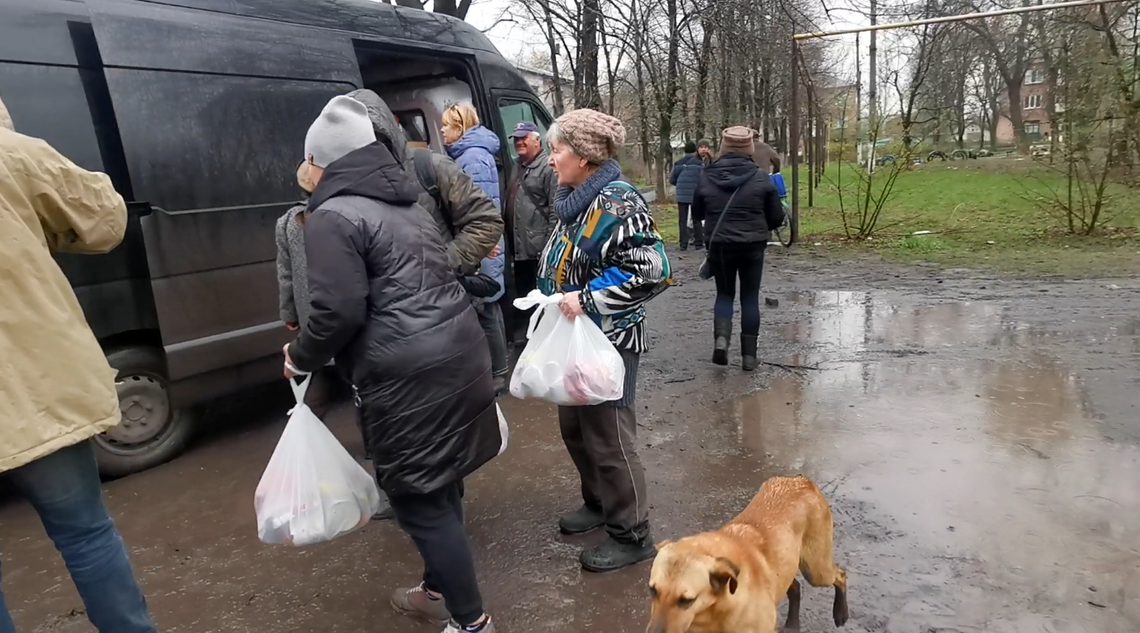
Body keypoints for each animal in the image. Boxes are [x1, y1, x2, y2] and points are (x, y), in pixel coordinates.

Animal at [647, 474, 843, 633]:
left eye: (686, 600)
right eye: (653, 590)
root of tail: (801, 480)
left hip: (816, 571)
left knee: (841, 575)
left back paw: (841, 613)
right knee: (795, 586)